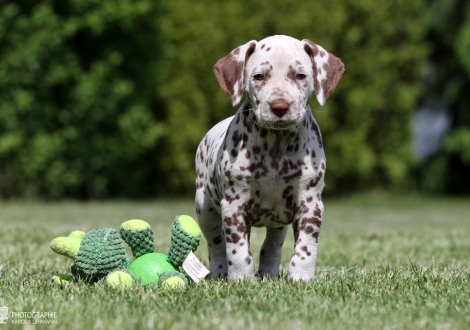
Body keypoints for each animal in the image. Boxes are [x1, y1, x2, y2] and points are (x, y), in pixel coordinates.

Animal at [193, 34, 344, 280]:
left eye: (300, 76)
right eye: (259, 76)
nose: (279, 107)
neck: (276, 147)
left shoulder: (311, 204)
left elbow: (306, 247)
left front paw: (301, 277)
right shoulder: (234, 205)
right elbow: (237, 250)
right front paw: (242, 279)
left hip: (278, 220)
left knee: (272, 245)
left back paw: (269, 272)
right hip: (204, 209)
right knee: (216, 244)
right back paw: (220, 272)